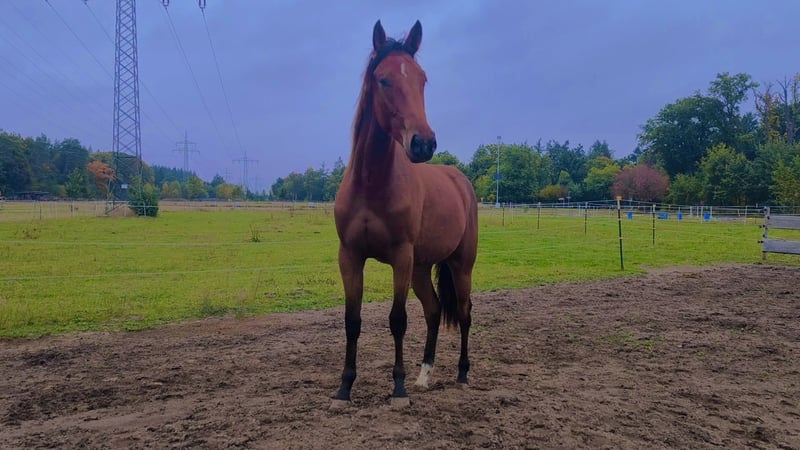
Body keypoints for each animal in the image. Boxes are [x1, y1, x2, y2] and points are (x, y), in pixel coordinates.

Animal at [332, 19, 478, 408]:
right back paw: (424, 375)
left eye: (422, 79)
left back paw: (462, 374)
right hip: (421, 268)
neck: (371, 185)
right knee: (433, 311)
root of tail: (461, 181)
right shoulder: (350, 256)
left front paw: (397, 389)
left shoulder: (400, 256)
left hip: (460, 265)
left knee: (464, 312)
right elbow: (352, 320)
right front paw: (344, 388)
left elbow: (397, 319)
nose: (423, 143)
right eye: (383, 80)